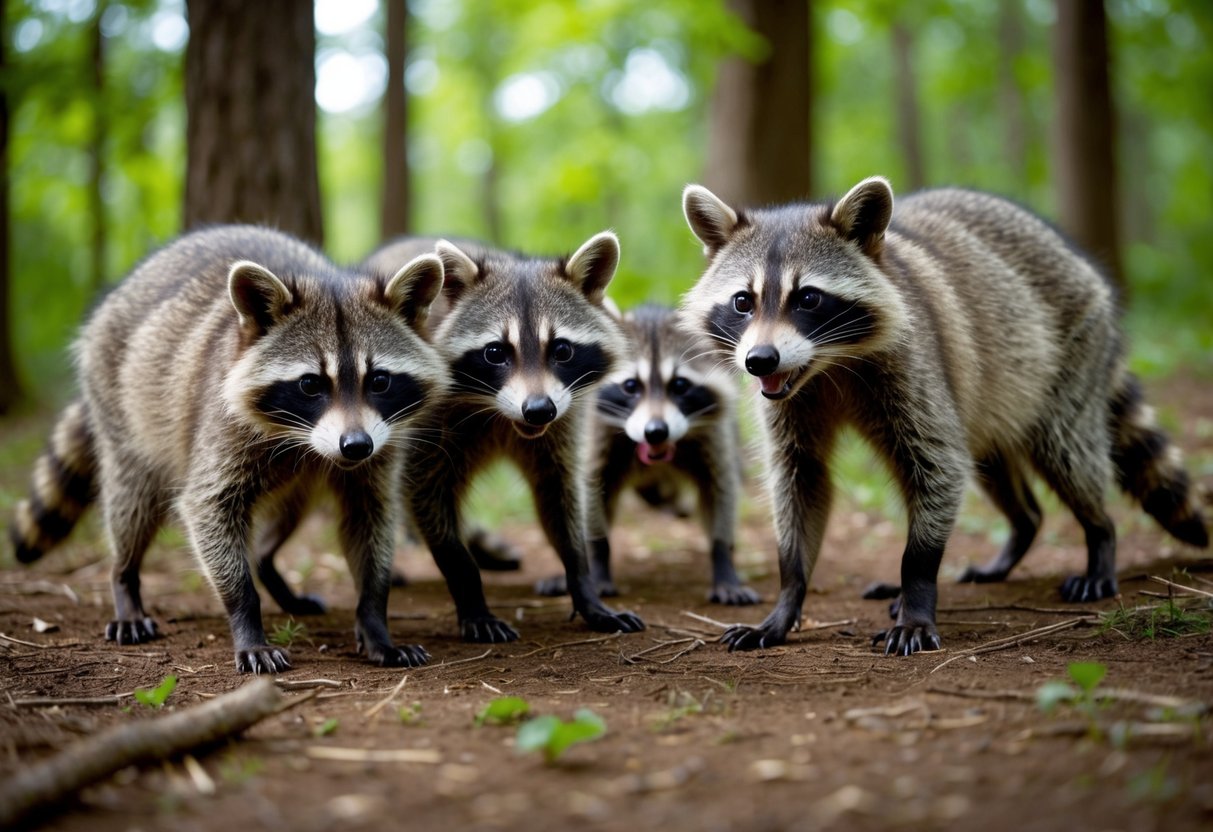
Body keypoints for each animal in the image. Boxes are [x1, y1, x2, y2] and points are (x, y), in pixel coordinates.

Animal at [9, 226, 447, 672]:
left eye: (379, 381)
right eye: (310, 384)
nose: (356, 446)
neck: (305, 442)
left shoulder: (381, 444)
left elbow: (370, 517)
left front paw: (375, 620)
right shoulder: (221, 430)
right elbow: (207, 508)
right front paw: (246, 619)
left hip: (298, 480)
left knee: (289, 514)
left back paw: (269, 567)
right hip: (122, 407)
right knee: (131, 504)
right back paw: (124, 579)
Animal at [361, 233, 646, 643]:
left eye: (562, 350)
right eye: (495, 352)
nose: (539, 409)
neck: (503, 416)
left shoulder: (564, 419)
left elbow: (560, 493)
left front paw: (583, 584)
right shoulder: (425, 419)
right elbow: (424, 493)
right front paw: (468, 587)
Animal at [532, 302, 759, 605]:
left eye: (680, 385)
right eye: (631, 386)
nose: (655, 432)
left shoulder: (714, 435)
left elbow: (721, 489)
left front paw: (723, 559)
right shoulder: (597, 434)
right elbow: (592, 491)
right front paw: (598, 560)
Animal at [679, 176, 1208, 656]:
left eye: (808, 298)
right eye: (743, 302)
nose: (760, 361)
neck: (828, 366)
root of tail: (1072, 254)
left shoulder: (916, 367)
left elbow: (937, 468)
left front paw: (915, 589)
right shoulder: (791, 404)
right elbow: (800, 479)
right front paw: (788, 598)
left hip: (1069, 353)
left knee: (1068, 454)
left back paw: (1100, 537)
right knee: (997, 470)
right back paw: (1022, 527)